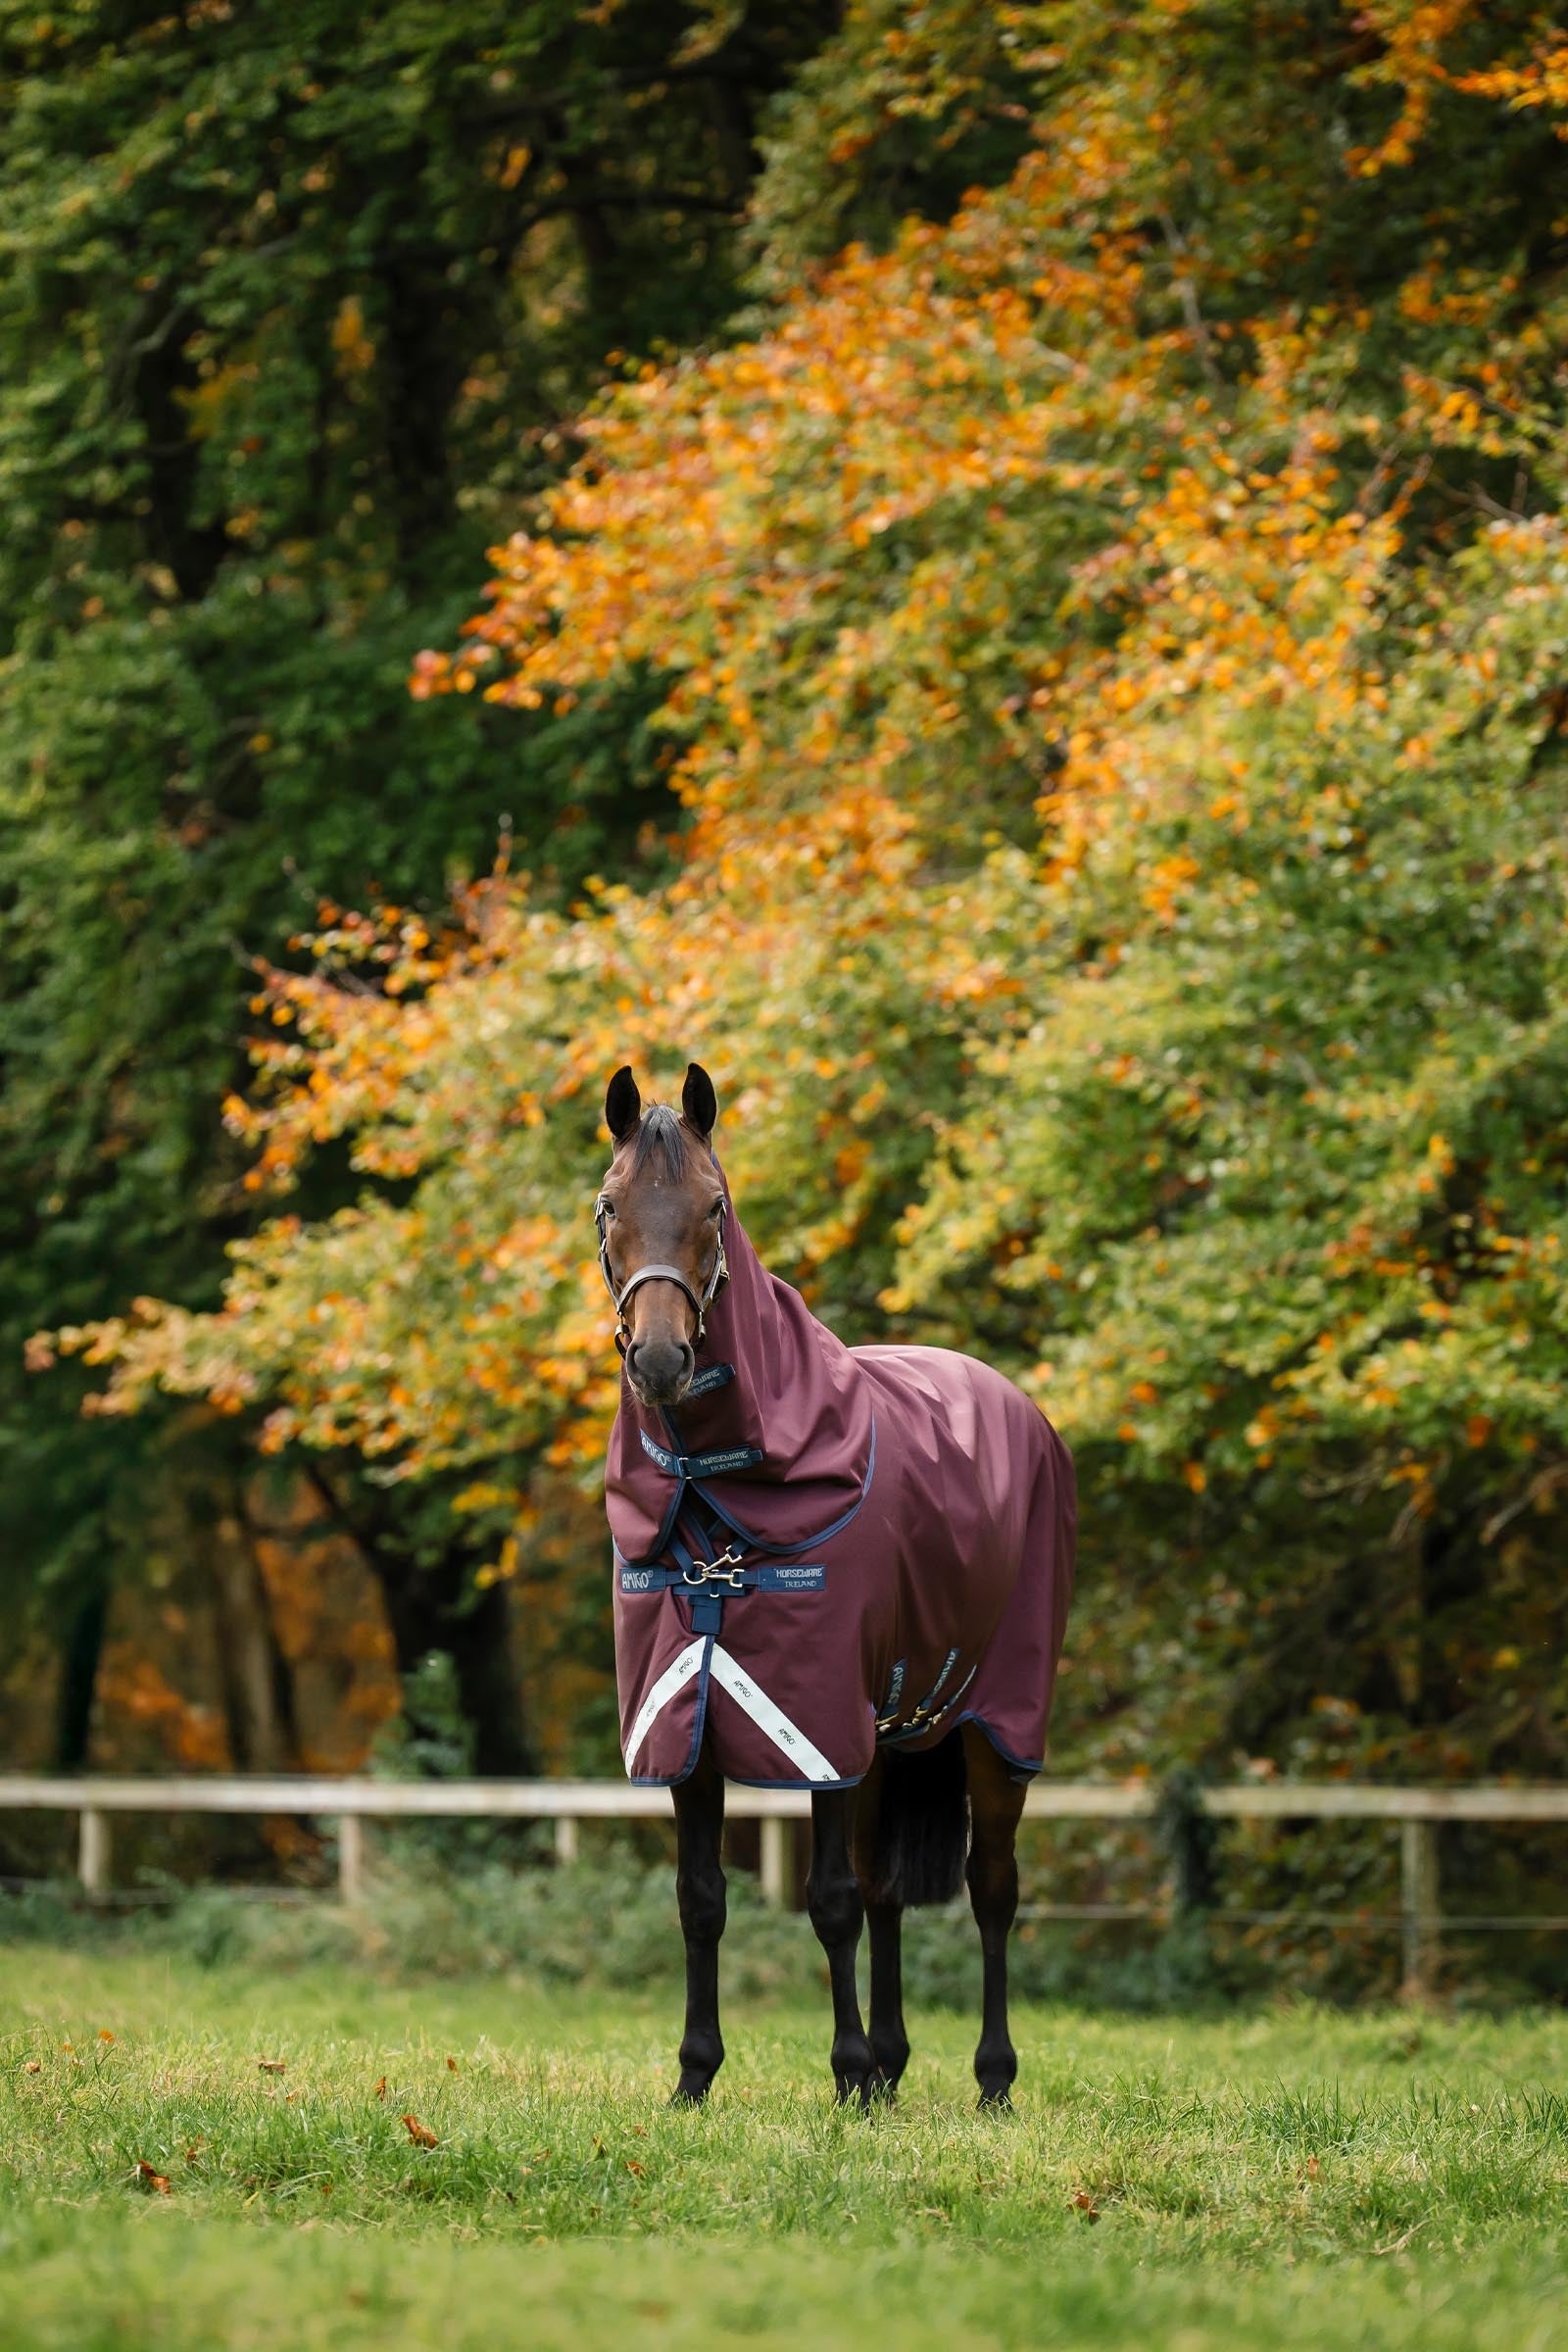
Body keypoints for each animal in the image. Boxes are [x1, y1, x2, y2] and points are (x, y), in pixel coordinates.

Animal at [597, 1062, 1076, 2108]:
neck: (717, 1502)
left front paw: (845, 2072)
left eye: (715, 1206)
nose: (660, 1360)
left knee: (992, 1886)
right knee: (889, 1883)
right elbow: (702, 1900)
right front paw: (696, 2076)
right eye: (609, 1206)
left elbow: (828, 1901)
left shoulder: (812, 1723)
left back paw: (990, 2079)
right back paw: (893, 2071)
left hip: (999, 1721)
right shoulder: (688, 1724)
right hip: (887, 1731)